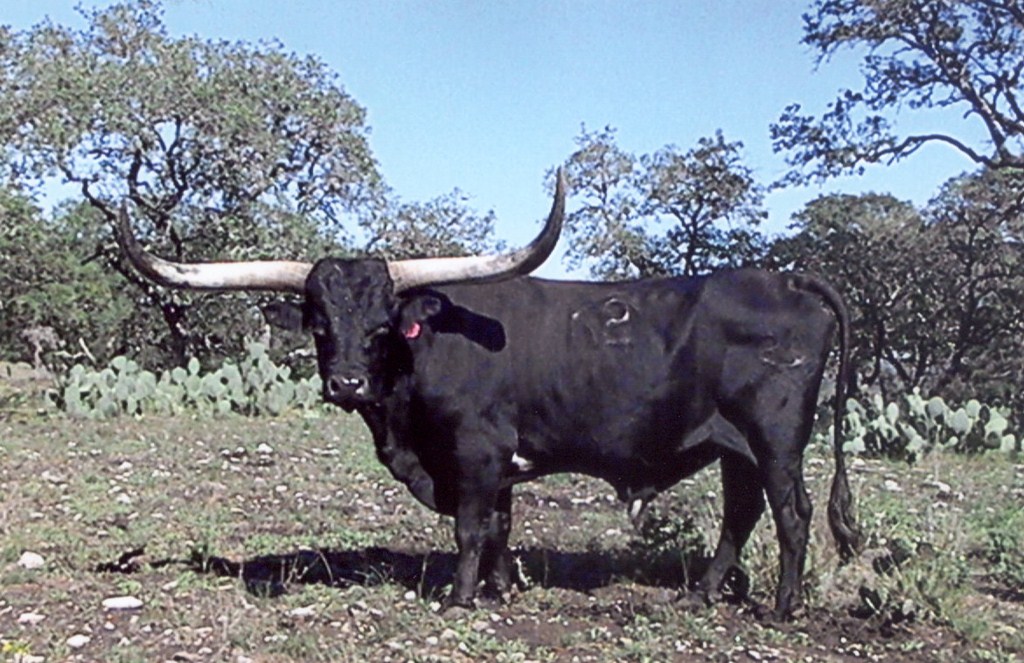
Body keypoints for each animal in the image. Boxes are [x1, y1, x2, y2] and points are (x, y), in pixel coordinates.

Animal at [114, 171, 861, 619]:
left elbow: (472, 526)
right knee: (741, 512)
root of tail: (788, 278)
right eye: (321, 324)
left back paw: (782, 607)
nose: (346, 382)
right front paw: (504, 588)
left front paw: (462, 595)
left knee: (791, 515)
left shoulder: (475, 451)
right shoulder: (499, 464)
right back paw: (703, 595)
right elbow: (501, 525)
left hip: (776, 438)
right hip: (732, 443)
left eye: (383, 324)